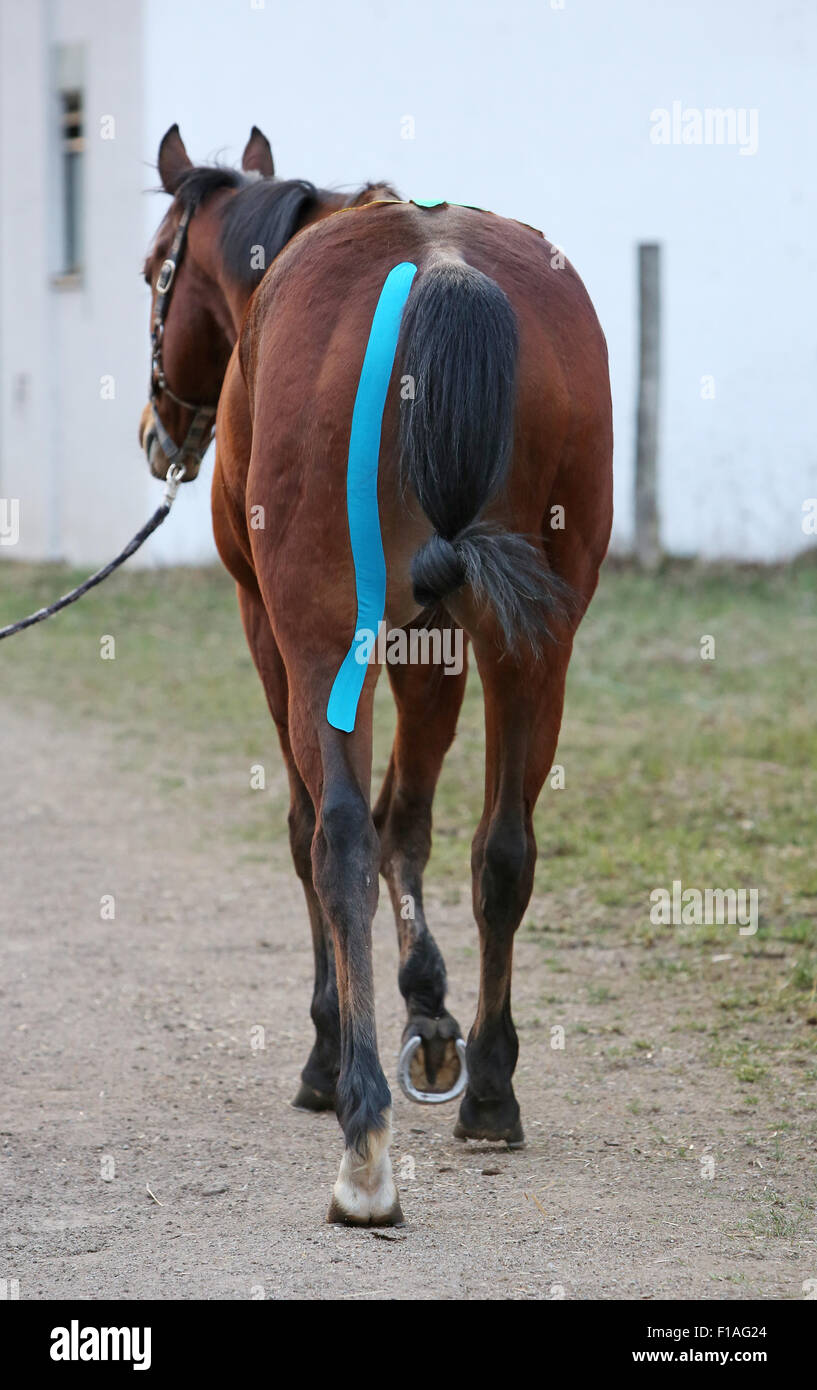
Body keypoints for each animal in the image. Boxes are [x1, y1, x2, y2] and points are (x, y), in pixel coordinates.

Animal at [140, 125, 613, 1226]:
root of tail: (440, 271)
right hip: (536, 643)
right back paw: (489, 1087)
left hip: (319, 633)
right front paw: (430, 1014)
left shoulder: (272, 631)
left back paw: (361, 1132)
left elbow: (318, 827)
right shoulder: (437, 641)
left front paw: (331, 1045)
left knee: (338, 838)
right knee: (504, 849)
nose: (157, 433)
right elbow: (416, 822)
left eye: (151, 273)